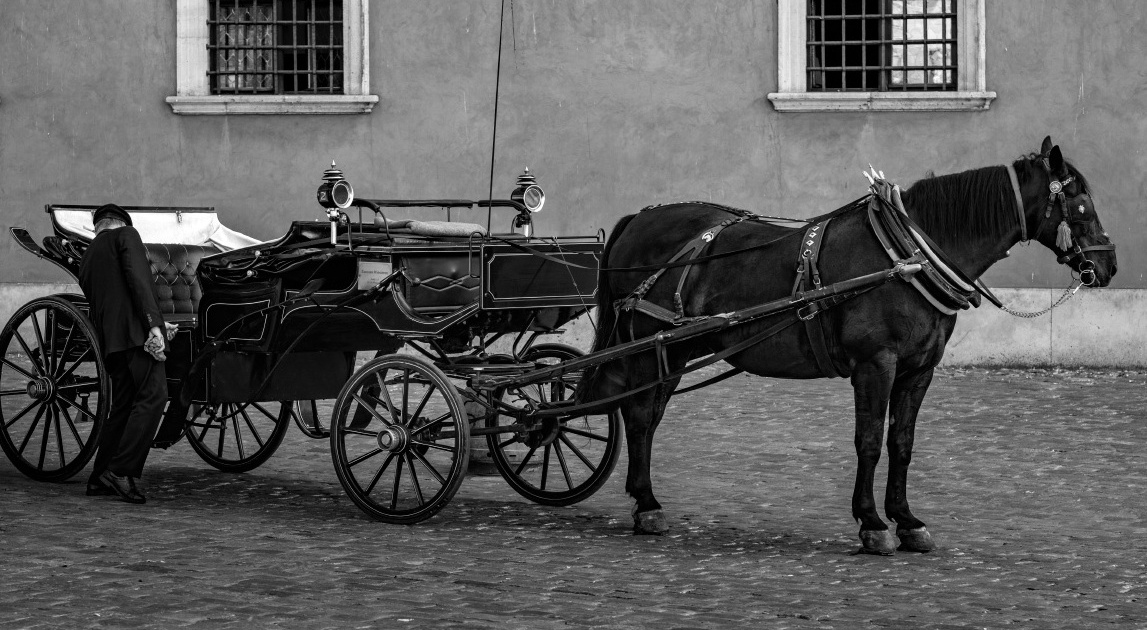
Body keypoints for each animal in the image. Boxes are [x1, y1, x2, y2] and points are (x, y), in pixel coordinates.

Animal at [578, 136, 1114, 550]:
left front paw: (906, 519)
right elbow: (870, 441)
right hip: (652, 346)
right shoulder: (875, 363)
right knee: (640, 417)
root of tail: (637, 218)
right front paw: (873, 523)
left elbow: (902, 442)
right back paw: (647, 504)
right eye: (1082, 205)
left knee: (647, 416)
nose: (1108, 265)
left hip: (672, 350)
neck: (908, 255)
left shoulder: (919, 368)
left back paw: (643, 498)